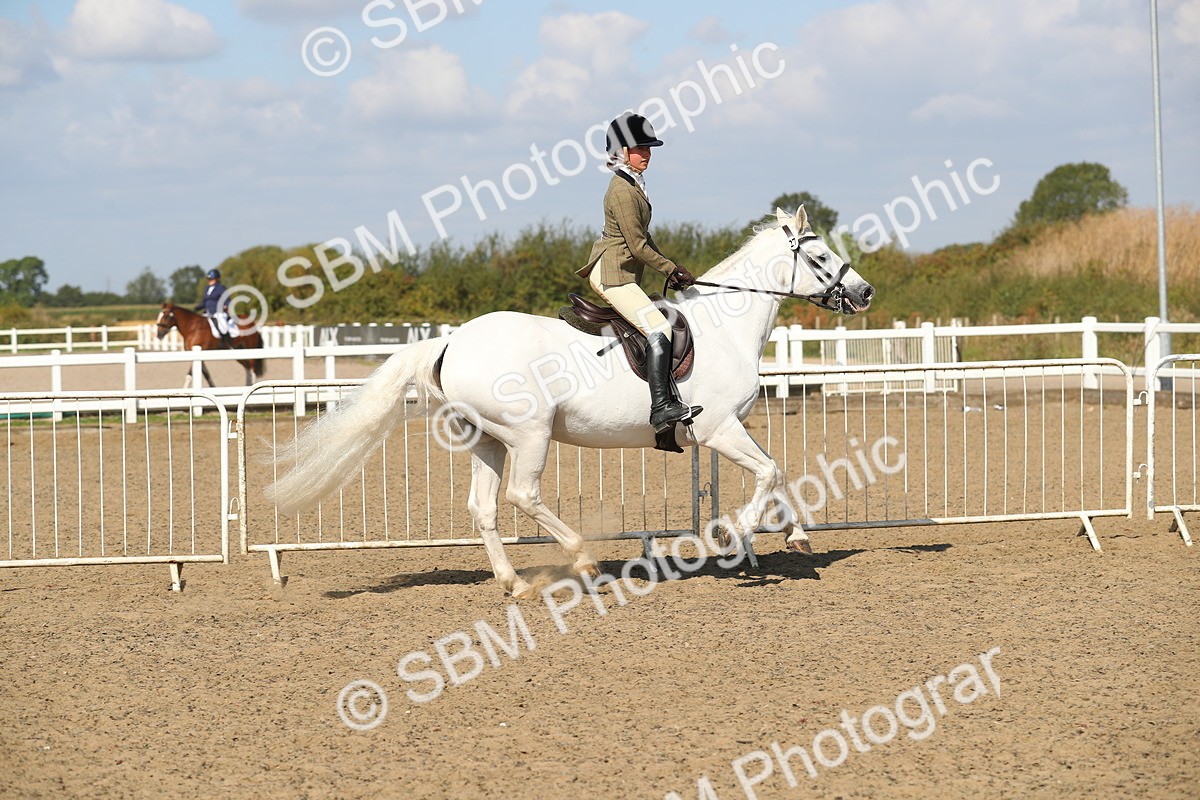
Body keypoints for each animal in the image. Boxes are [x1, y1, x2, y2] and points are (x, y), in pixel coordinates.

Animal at [266, 206, 874, 597]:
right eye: (821, 256)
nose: (864, 292)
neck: (725, 329)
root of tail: (452, 340)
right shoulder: (719, 428)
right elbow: (768, 472)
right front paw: (733, 534)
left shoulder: (732, 430)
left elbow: (777, 471)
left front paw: (796, 535)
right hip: (529, 433)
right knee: (522, 495)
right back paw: (582, 559)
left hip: (487, 440)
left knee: (484, 508)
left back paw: (513, 583)